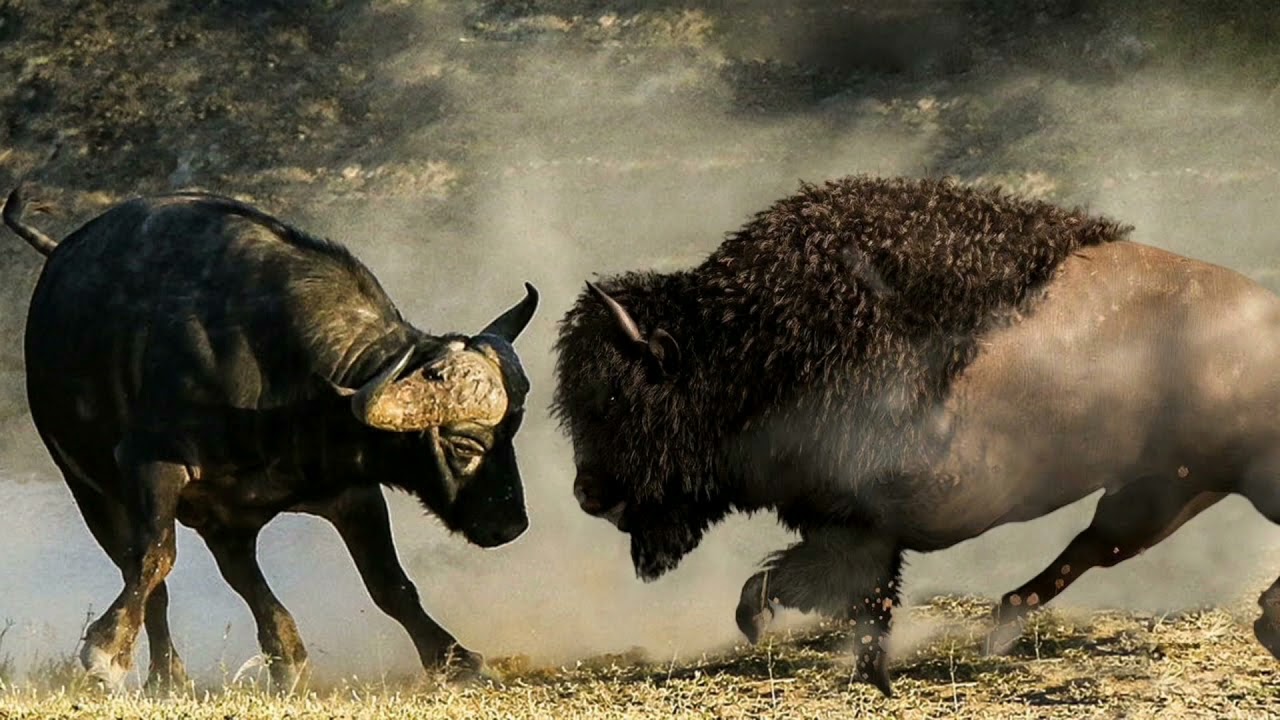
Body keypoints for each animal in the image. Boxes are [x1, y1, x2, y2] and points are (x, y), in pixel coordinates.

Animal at [3, 185, 539, 691]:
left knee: (239, 570)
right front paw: (106, 651)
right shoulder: (149, 464)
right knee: (147, 573)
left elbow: (390, 583)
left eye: (512, 430)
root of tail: (57, 253)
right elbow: (154, 559)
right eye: (465, 445)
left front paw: (456, 660)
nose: (510, 524)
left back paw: (286, 657)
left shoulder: (352, 491)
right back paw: (169, 675)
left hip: (223, 516)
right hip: (90, 490)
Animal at [552, 175, 1280, 696]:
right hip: (1173, 488)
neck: (746, 345)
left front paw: (759, 622)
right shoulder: (859, 532)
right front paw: (870, 674)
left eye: (617, 396)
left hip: (1211, 485)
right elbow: (861, 600)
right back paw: (1001, 629)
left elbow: (810, 583)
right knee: (1097, 546)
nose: (587, 494)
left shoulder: (858, 526)